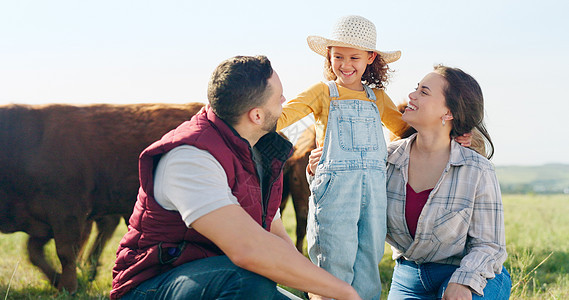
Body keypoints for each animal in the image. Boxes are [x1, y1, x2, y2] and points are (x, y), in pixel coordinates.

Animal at [0, 102, 204, 292]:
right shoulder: (44, 220)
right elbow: (34, 252)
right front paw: (58, 280)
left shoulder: (67, 213)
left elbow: (65, 253)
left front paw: (68, 288)